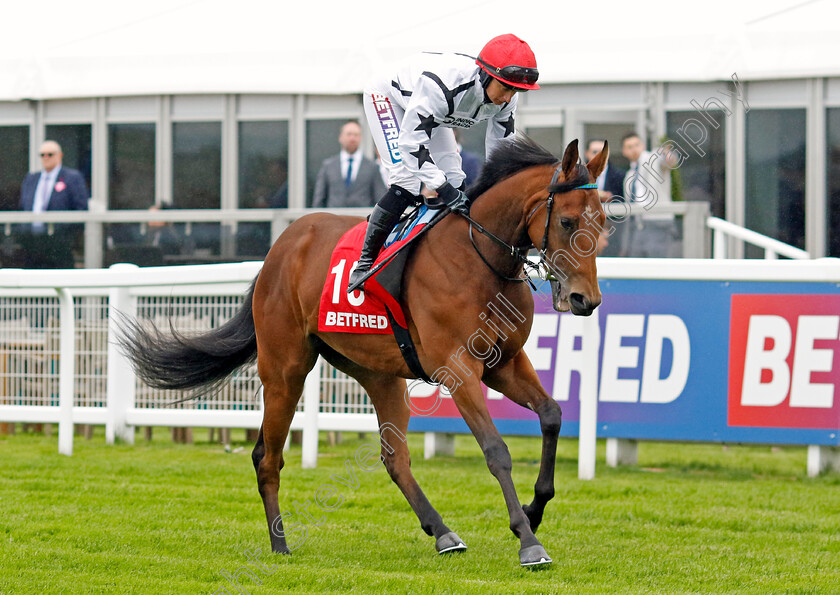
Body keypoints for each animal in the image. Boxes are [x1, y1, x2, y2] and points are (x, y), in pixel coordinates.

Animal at [121, 135, 608, 568]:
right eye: (567, 222)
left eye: (603, 221)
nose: (585, 299)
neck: (479, 257)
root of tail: (280, 248)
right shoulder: (458, 369)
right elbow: (496, 450)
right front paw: (528, 542)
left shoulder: (503, 363)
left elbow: (551, 415)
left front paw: (534, 510)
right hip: (284, 369)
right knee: (267, 456)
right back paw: (280, 545)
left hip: (378, 373)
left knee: (395, 457)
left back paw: (443, 533)